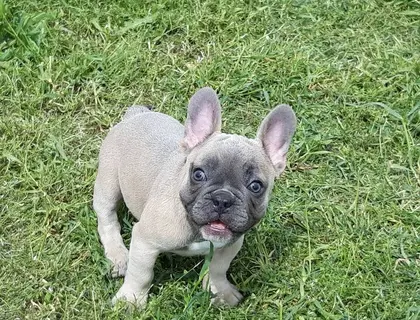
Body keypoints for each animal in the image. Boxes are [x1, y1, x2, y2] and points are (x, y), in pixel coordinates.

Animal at [92, 87, 296, 308]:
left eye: (256, 186)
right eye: (198, 174)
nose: (222, 199)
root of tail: (136, 115)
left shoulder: (230, 245)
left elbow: (218, 269)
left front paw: (220, 292)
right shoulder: (145, 241)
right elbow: (141, 274)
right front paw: (130, 300)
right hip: (108, 182)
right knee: (107, 219)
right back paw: (118, 256)